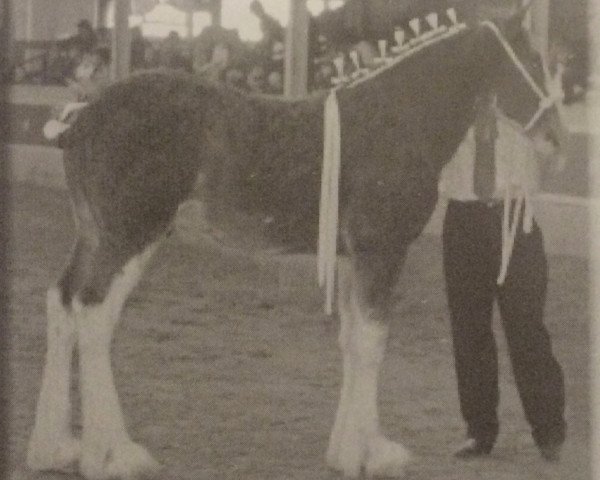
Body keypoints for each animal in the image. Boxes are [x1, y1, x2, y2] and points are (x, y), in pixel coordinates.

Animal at [25, 4, 564, 480]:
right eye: (534, 60)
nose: (556, 138)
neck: (396, 116)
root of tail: (83, 116)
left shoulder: (351, 258)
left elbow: (352, 340)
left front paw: (346, 452)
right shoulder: (382, 250)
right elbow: (372, 343)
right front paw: (372, 455)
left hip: (95, 237)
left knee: (62, 303)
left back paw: (54, 449)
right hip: (129, 236)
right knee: (94, 315)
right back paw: (112, 455)